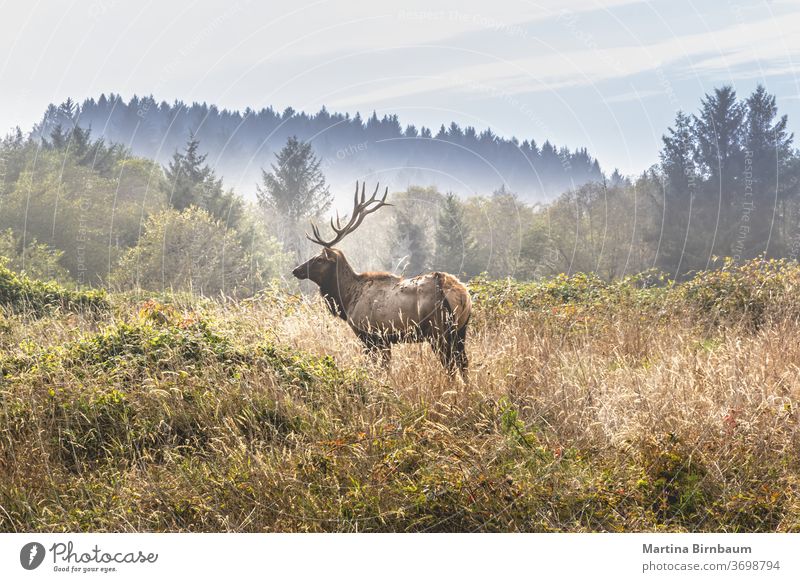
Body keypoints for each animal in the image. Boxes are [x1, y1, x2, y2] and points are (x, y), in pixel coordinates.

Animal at [292, 180, 468, 378]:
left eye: (319, 259)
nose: (296, 270)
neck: (347, 299)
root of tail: (461, 295)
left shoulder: (370, 335)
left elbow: (378, 368)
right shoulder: (385, 339)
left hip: (438, 330)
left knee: (450, 365)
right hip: (460, 330)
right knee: (464, 363)